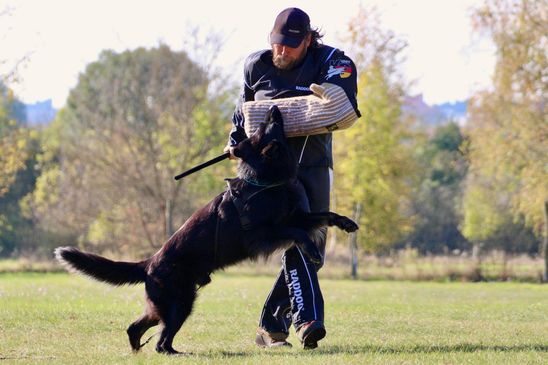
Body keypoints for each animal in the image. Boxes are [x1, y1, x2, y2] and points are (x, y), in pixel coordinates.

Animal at [53, 104, 358, 352]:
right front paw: (312, 251)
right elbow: (298, 233)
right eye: (265, 127)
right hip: (180, 304)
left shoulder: (294, 217)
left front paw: (345, 222)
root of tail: (150, 263)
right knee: (161, 342)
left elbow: (321, 215)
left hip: (166, 305)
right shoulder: (262, 234)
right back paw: (177, 354)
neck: (263, 179)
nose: (272, 107)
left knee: (137, 328)